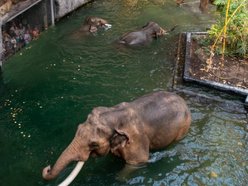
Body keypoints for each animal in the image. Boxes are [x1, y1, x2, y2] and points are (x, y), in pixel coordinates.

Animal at [42, 91, 192, 184]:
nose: (47, 167)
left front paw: (116, 178)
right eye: (78, 128)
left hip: (183, 127)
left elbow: (137, 163)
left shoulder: (137, 140)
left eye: (93, 144)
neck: (114, 114)